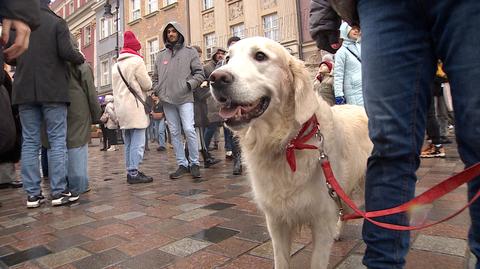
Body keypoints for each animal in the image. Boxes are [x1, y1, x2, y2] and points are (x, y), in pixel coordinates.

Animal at [209, 37, 372, 268]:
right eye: (227, 59)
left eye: (260, 56)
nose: (216, 78)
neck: (288, 143)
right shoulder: (276, 222)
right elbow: (281, 260)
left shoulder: (321, 221)